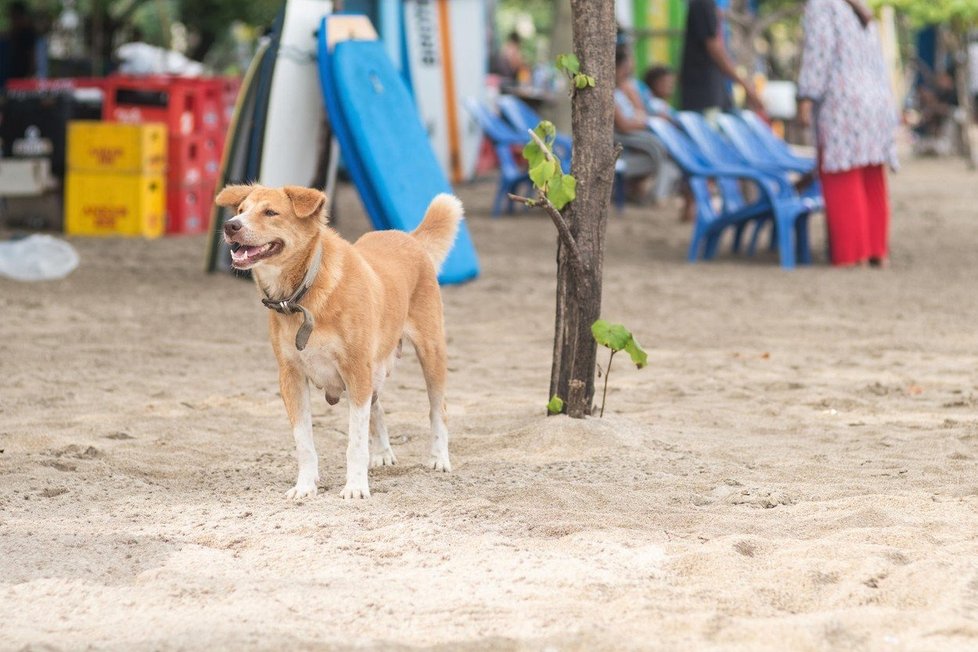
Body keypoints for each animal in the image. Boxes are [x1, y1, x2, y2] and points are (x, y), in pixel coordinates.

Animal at [215, 186, 460, 502]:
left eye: (270, 212)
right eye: (241, 210)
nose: (230, 225)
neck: (304, 293)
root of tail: (409, 237)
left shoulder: (356, 370)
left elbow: (355, 443)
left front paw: (355, 487)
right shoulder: (291, 377)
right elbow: (304, 442)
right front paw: (305, 486)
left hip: (430, 353)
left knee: (437, 408)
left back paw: (438, 458)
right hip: (374, 372)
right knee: (377, 408)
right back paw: (382, 453)